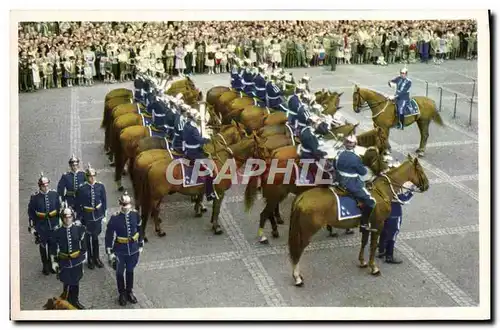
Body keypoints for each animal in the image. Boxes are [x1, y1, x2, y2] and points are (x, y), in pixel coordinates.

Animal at [290, 153, 430, 284]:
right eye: (421, 170)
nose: (427, 186)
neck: (381, 191)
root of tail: (302, 197)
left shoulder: (366, 225)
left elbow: (364, 242)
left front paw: (362, 262)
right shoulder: (377, 225)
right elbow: (373, 245)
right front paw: (373, 267)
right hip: (306, 232)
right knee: (298, 250)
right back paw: (297, 277)